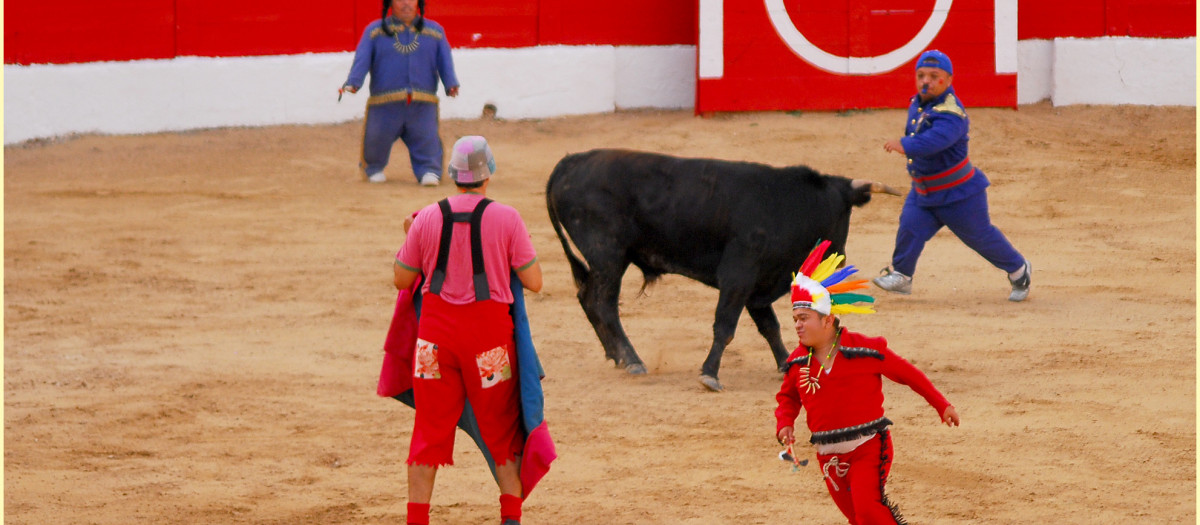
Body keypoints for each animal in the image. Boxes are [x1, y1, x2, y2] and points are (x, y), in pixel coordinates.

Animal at [544, 147, 902, 390]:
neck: (787, 205)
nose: (837, 261)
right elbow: (725, 325)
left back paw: (617, 356)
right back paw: (632, 360)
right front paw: (709, 374)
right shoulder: (738, 274)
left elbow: (770, 327)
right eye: (834, 218)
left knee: (588, 298)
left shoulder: (758, 286)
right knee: (603, 304)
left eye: (844, 215)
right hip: (609, 255)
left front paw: (786, 365)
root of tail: (570, 162)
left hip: (605, 261)